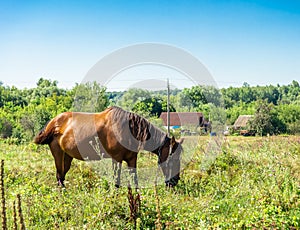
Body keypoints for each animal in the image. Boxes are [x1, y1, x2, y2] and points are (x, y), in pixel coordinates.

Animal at [32, 106, 183, 187]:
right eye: (173, 158)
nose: (174, 181)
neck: (128, 129)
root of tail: (54, 122)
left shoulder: (132, 159)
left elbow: (134, 179)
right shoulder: (116, 159)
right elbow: (116, 180)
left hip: (67, 156)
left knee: (62, 175)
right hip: (58, 154)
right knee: (59, 176)